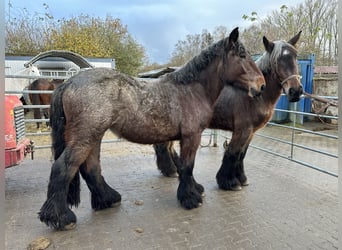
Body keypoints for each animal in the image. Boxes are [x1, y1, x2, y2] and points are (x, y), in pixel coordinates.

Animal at [38, 27, 266, 230]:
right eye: (242, 55)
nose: (261, 85)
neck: (191, 90)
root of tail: (67, 83)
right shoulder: (192, 137)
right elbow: (187, 166)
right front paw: (191, 199)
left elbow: (184, 166)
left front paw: (195, 190)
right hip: (85, 137)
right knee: (63, 168)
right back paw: (62, 218)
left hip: (94, 136)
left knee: (90, 167)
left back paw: (107, 199)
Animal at [154, 31, 304, 191]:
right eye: (277, 61)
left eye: (296, 56)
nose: (296, 91)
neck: (253, 96)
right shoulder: (242, 130)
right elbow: (233, 153)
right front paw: (229, 182)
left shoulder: (251, 132)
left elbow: (242, 154)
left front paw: (241, 178)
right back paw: (170, 170)